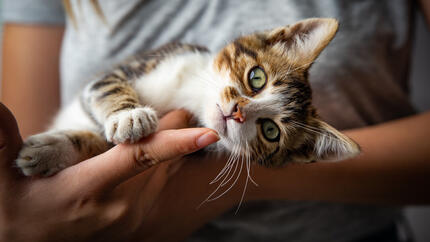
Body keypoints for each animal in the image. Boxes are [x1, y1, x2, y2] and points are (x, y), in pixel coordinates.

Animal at [15, 18, 360, 178]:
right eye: (257, 78)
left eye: (271, 131)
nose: (237, 112)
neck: (191, 94)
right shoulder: (133, 66)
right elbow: (106, 87)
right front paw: (128, 116)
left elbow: (100, 143)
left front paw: (50, 151)